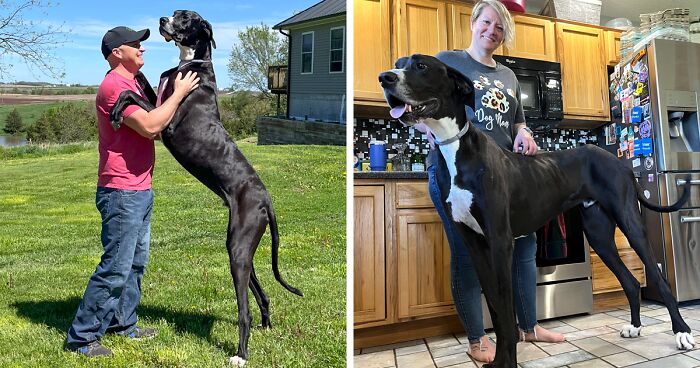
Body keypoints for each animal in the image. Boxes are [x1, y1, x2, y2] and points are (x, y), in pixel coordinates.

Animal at [110, 10, 302, 366]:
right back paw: (266, 323)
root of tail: (266, 199)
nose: (162, 18)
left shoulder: (166, 123)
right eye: (176, 13)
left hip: (238, 248)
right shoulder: (159, 101)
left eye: (186, 18)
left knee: (244, 311)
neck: (191, 62)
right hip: (240, 246)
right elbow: (141, 86)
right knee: (261, 291)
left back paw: (241, 354)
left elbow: (132, 95)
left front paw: (116, 110)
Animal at [380, 53, 696, 366]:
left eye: (421, 66)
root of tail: (619, 160)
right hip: (599, 236)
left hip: (630, 223)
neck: (455, 148)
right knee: (630, 282)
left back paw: (682, 332)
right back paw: (634, 327)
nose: (385, 77)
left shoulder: (500, 243)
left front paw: (506, 363)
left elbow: (506, 312)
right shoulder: (475, 246)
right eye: (398, 63)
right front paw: (498, 361)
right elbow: (495, 309)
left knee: (659, 279)